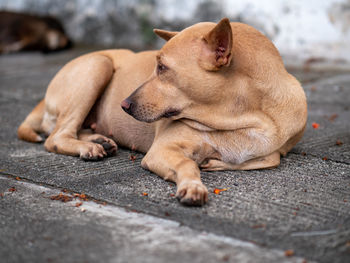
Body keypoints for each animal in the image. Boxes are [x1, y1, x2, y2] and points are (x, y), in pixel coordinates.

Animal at [17, 18, 306, 207]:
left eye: (163, 68)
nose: (124, 105)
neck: (242, 117)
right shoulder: (163, 150)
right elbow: (188, 164)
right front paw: (193, 185)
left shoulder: (272, 149)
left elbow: (269, 158)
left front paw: (216, 162)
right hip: (98, 65)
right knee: (56, 137)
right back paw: (86, 147)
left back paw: (97, 140)